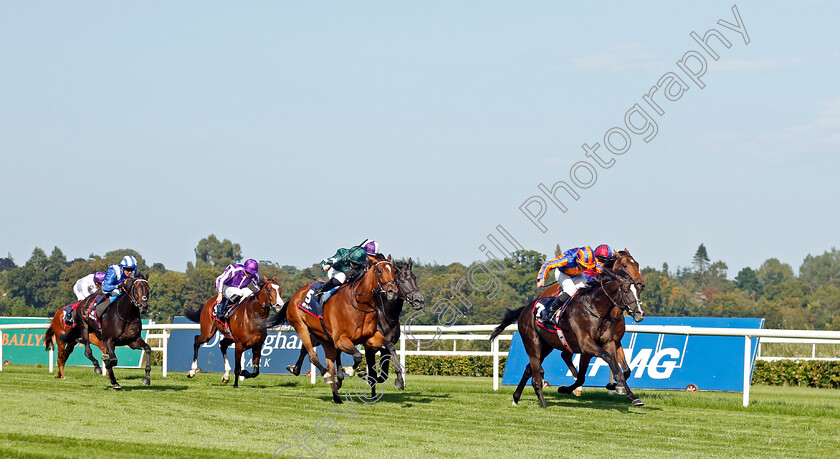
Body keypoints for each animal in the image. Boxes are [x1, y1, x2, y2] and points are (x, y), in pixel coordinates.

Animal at [488, 268, 648, 408]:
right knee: (536, 375)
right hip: (532, 344)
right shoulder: (586, 345)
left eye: (638, 291)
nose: (639, 313)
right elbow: (605, 361)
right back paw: (543, 403)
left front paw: (632, 396)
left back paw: (516, 398)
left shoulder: (607, 344)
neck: (595, 310)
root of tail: (526, 307)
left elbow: (616, 370)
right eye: (626, 291)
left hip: (547, 346)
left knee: (529, 369)